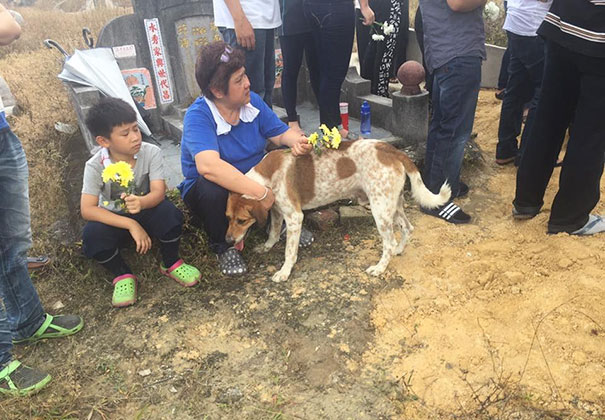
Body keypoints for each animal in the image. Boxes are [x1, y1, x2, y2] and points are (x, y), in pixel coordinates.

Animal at [225, 140, 448, 282]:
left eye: (242, 220)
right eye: (228, 217)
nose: (227, 241)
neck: (265, 178)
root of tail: (390, 149)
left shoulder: (295, 217)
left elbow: (289, 251)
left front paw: (284, 272)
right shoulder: (277, 211)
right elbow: (272, 232)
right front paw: (267, 246)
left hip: (380, 210)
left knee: (389, 242)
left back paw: (380, 267)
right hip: (393, 205)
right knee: (407, 228)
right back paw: (399, 250)